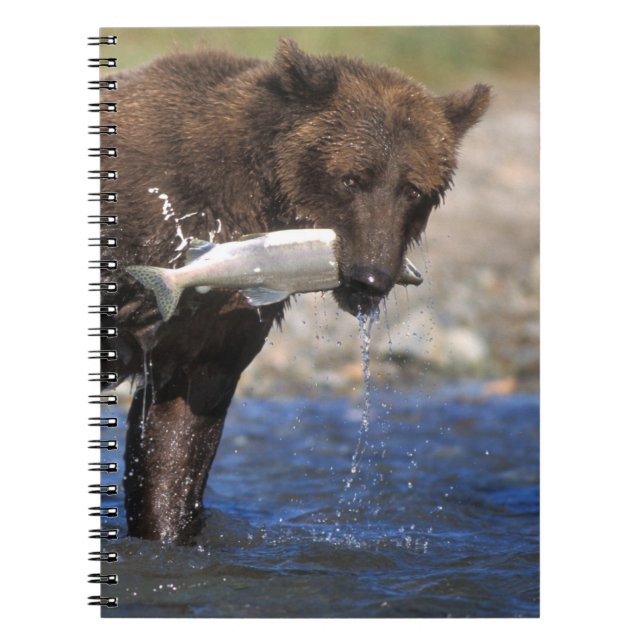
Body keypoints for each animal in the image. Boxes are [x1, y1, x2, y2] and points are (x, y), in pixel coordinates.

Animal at [101, 38, 490, 543]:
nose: (369, 277)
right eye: (351, 179)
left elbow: (176, 439)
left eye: (413, 190)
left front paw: (169, 531)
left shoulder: (212, 329)